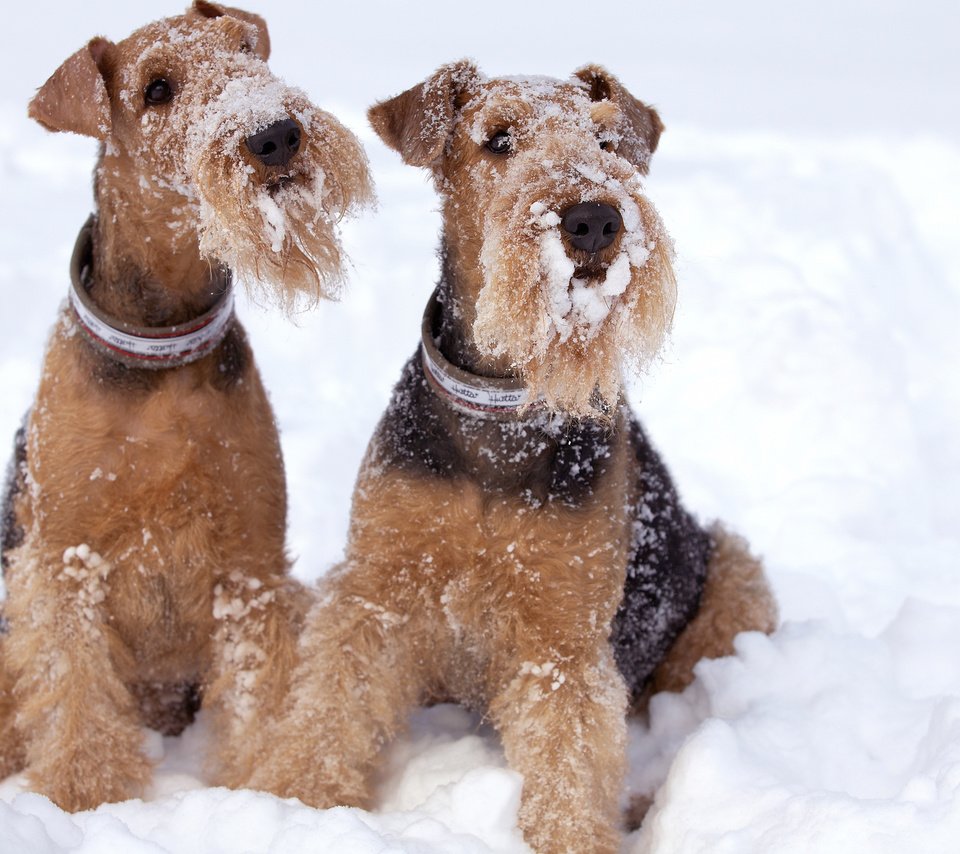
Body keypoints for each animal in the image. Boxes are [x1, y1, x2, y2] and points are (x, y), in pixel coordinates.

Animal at [0, 0, 372, 812]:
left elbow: (259, 692)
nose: (275, 133)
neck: (162, 344)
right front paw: (83, 792)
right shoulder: (64, 561)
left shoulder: (250, 561)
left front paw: (259, 785)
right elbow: (74, 689)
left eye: (245, 50)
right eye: (157, 89)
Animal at [244, 63, 776, 852]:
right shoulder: (378, 588)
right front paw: (296, 803)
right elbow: (335, 703)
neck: (501, 412)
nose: (594, 219)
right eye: (498, 139)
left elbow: (569, 762)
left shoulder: (563, 637)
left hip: (734, 578)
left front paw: (574, 838)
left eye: (607, 140)